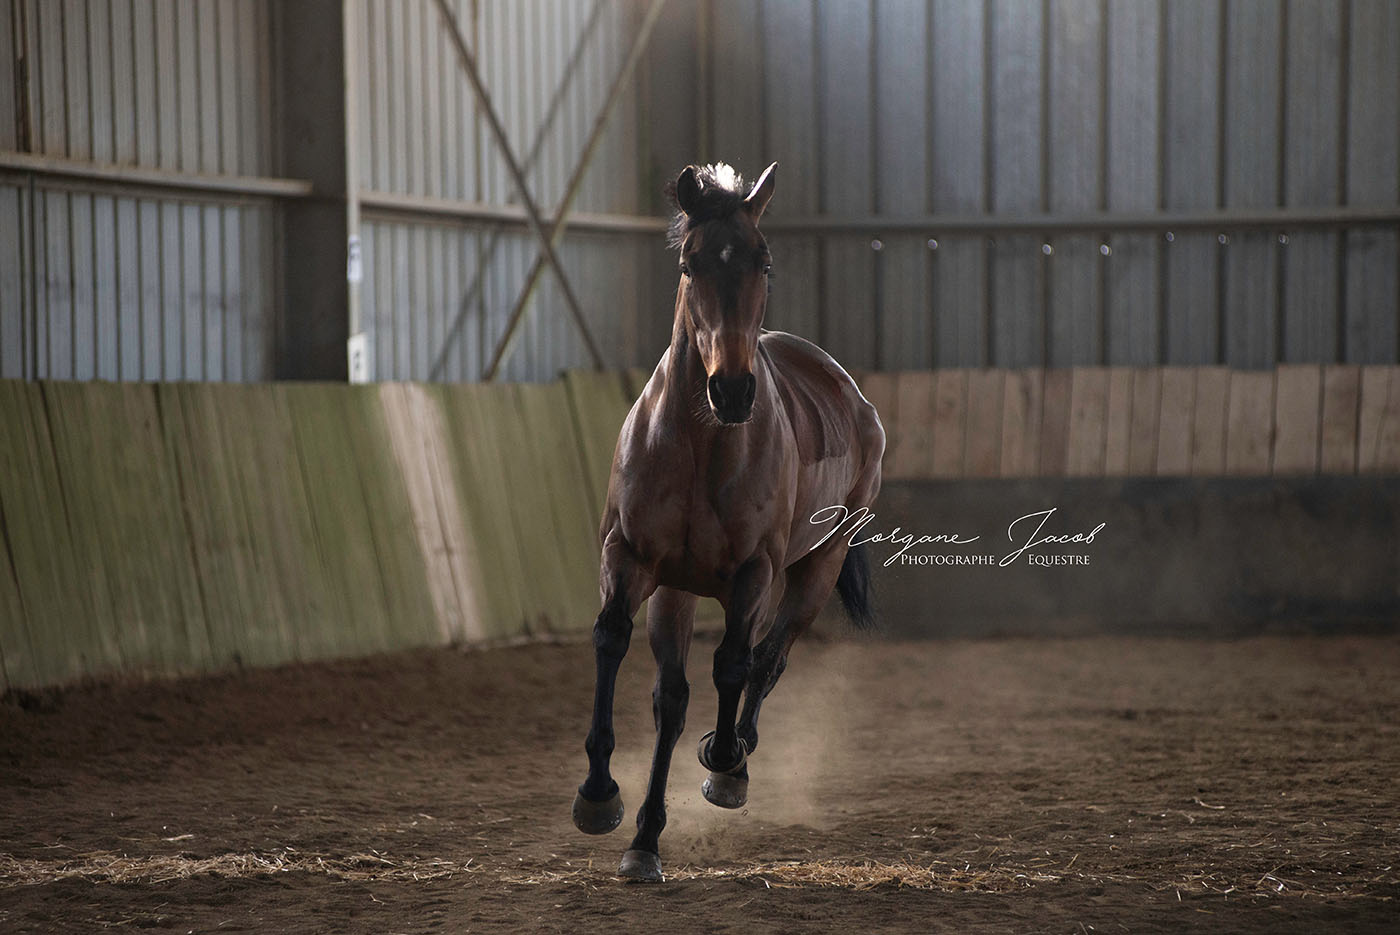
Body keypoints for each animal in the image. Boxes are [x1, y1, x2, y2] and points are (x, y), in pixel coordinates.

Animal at [571, 162, 884, 884]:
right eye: (690, 264)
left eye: (762, 260)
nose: (733, 390)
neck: (697, 441)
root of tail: (852, 394)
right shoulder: (631, 558)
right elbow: (613, 643)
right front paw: (600, 797)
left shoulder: (751, 575)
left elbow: (735, 664)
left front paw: (724, 763)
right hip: (677, 590)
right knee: (673, 698)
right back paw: (646, 837)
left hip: (817, 568)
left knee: (769, 659)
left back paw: (735, 753)